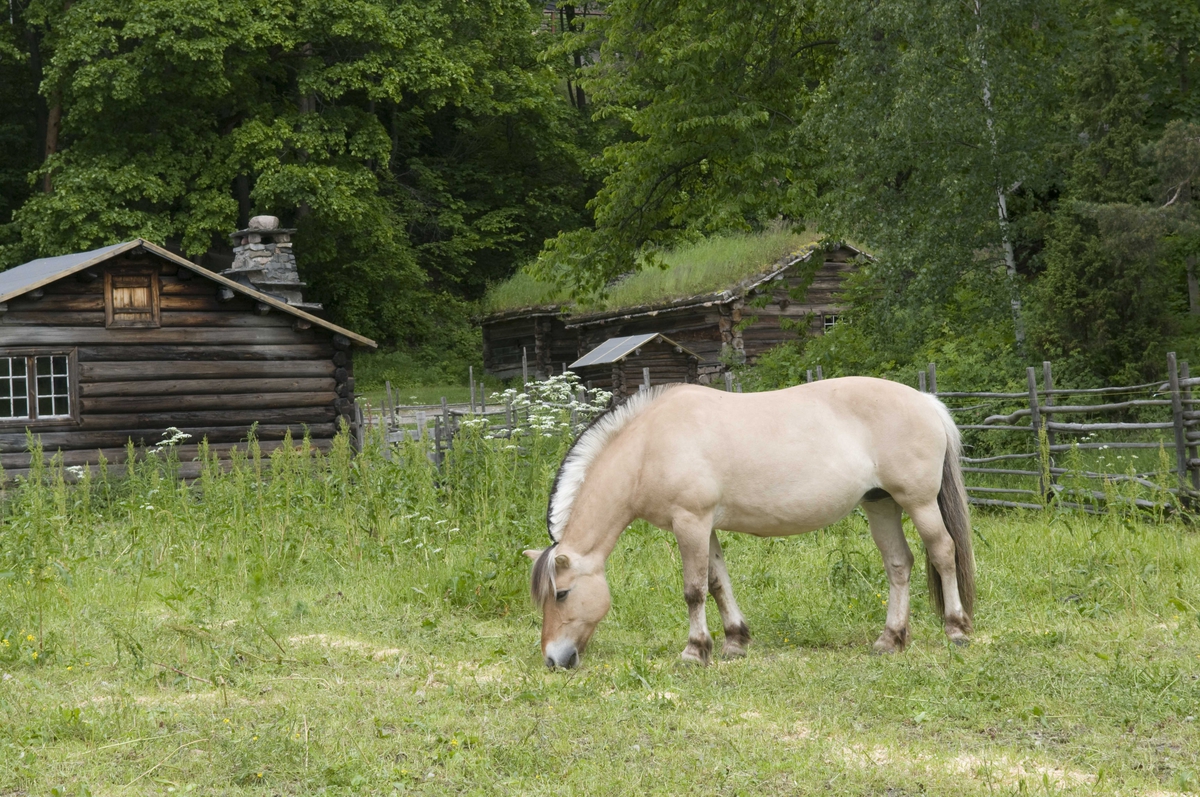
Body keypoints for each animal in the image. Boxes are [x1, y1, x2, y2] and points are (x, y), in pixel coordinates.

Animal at [525, 376, 974, 667]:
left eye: (562, 594)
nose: (552, 659)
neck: (649, 446)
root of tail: (926, 401)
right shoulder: (703, 527)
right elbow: (717, 583)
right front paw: (734, 642)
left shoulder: (690, 522)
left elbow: (693, 590)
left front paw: (694, 651)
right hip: (881, 505)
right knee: (899, 564)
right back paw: (890, 640)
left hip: (919, 503)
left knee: (943, 552)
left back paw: (956, 630)